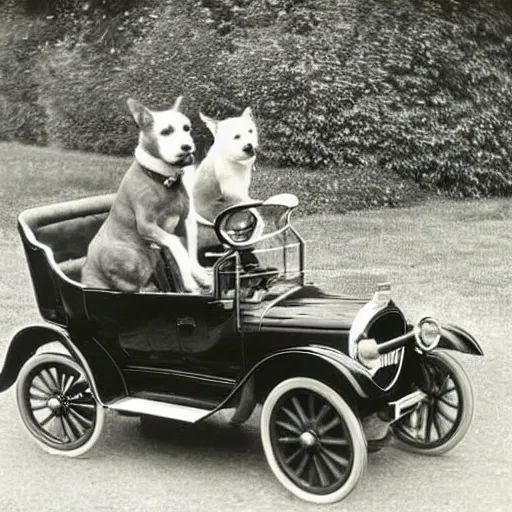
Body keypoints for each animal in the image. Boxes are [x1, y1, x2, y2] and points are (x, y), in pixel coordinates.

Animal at [83, 96, 211, 294]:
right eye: (166, 131)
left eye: (187, 128)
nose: (188, 147)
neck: (162, 178)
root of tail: (89, 271)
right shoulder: (147, 226)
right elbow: (177, 245)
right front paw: (190, 281)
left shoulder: (183, 223)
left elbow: (189, 249)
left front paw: (199, 275)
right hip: (135, 259)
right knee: (132, 286)